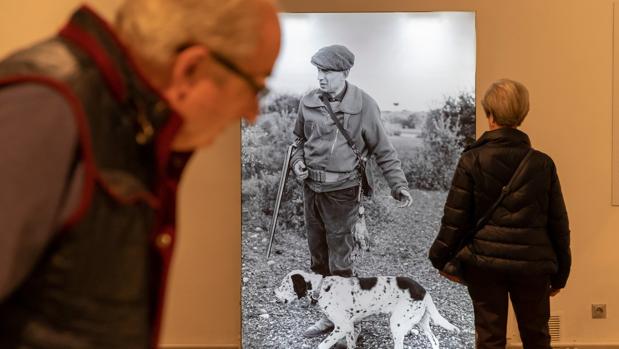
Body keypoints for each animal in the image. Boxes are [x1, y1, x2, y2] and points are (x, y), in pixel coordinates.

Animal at [276, 270, 460, 348]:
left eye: (284, 285)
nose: (274, 295)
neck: (322, 287)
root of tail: (423, 291)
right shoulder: (349, 328)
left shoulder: (342, 327)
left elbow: (323, 345)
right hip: (421, 322)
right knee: (435, 341)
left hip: (397, 324)